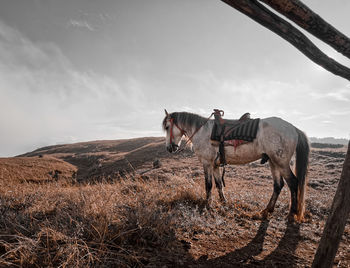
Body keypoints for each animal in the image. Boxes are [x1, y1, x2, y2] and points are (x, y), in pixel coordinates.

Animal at [162, 109, 308, 222]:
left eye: (167, 127)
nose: (169, 148)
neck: (202, 131)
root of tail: (293, 128)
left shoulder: (207, 163)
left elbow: (208, 185)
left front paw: (207, 204)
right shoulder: (215, 165)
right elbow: (218, 184)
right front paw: (223, 202)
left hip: (281, 163)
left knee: (293, 183)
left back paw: (291, 213)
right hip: (273, 162)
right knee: (278, 185)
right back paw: (267, 210)